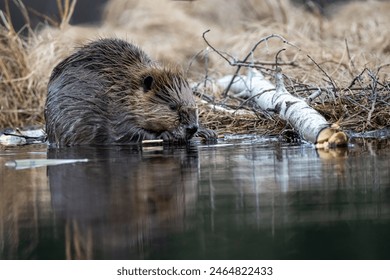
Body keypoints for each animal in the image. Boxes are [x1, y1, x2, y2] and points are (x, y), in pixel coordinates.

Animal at [46, 38, 218, 145]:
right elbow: (126, 132)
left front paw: (208, 132)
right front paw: (165, 135)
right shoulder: (115, 112)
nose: (192, 127)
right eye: (172, 106)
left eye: (193, 104)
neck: (122, 90)